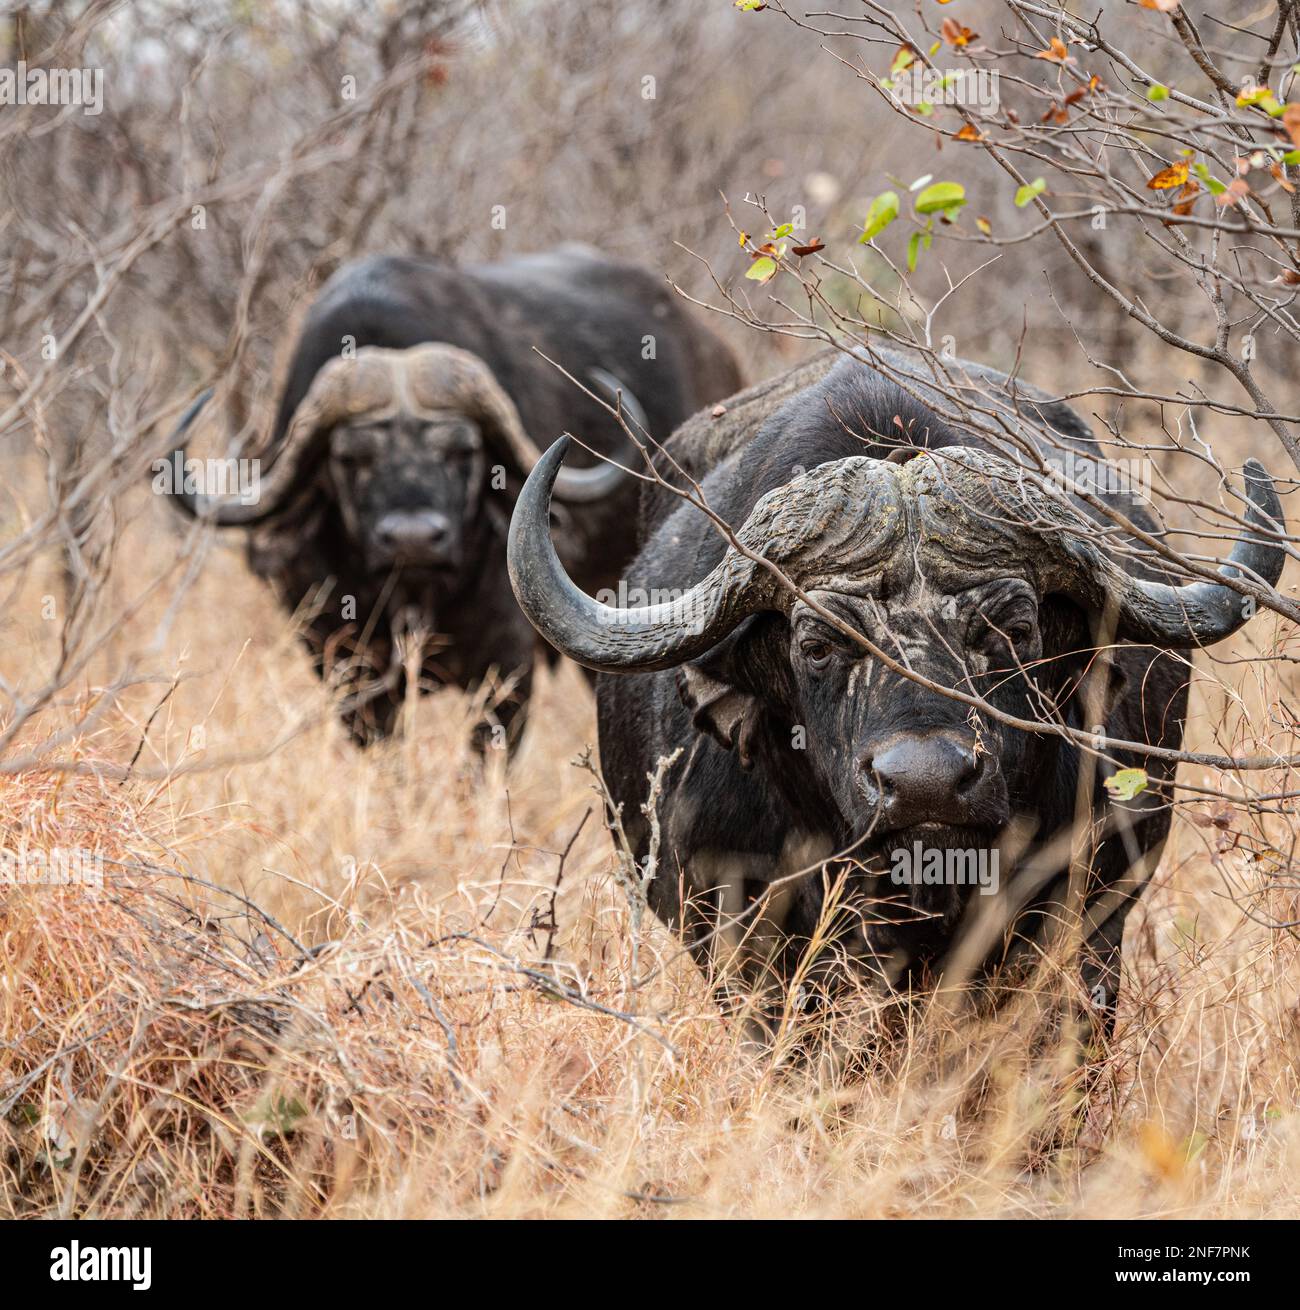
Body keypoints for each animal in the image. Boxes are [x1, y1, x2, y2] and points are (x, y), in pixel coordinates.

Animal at [161, 245, 741, 743]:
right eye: (350, 458)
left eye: (462, 451)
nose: (413, 540)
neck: (414, 599)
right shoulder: (344, 668)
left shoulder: (507, 668)